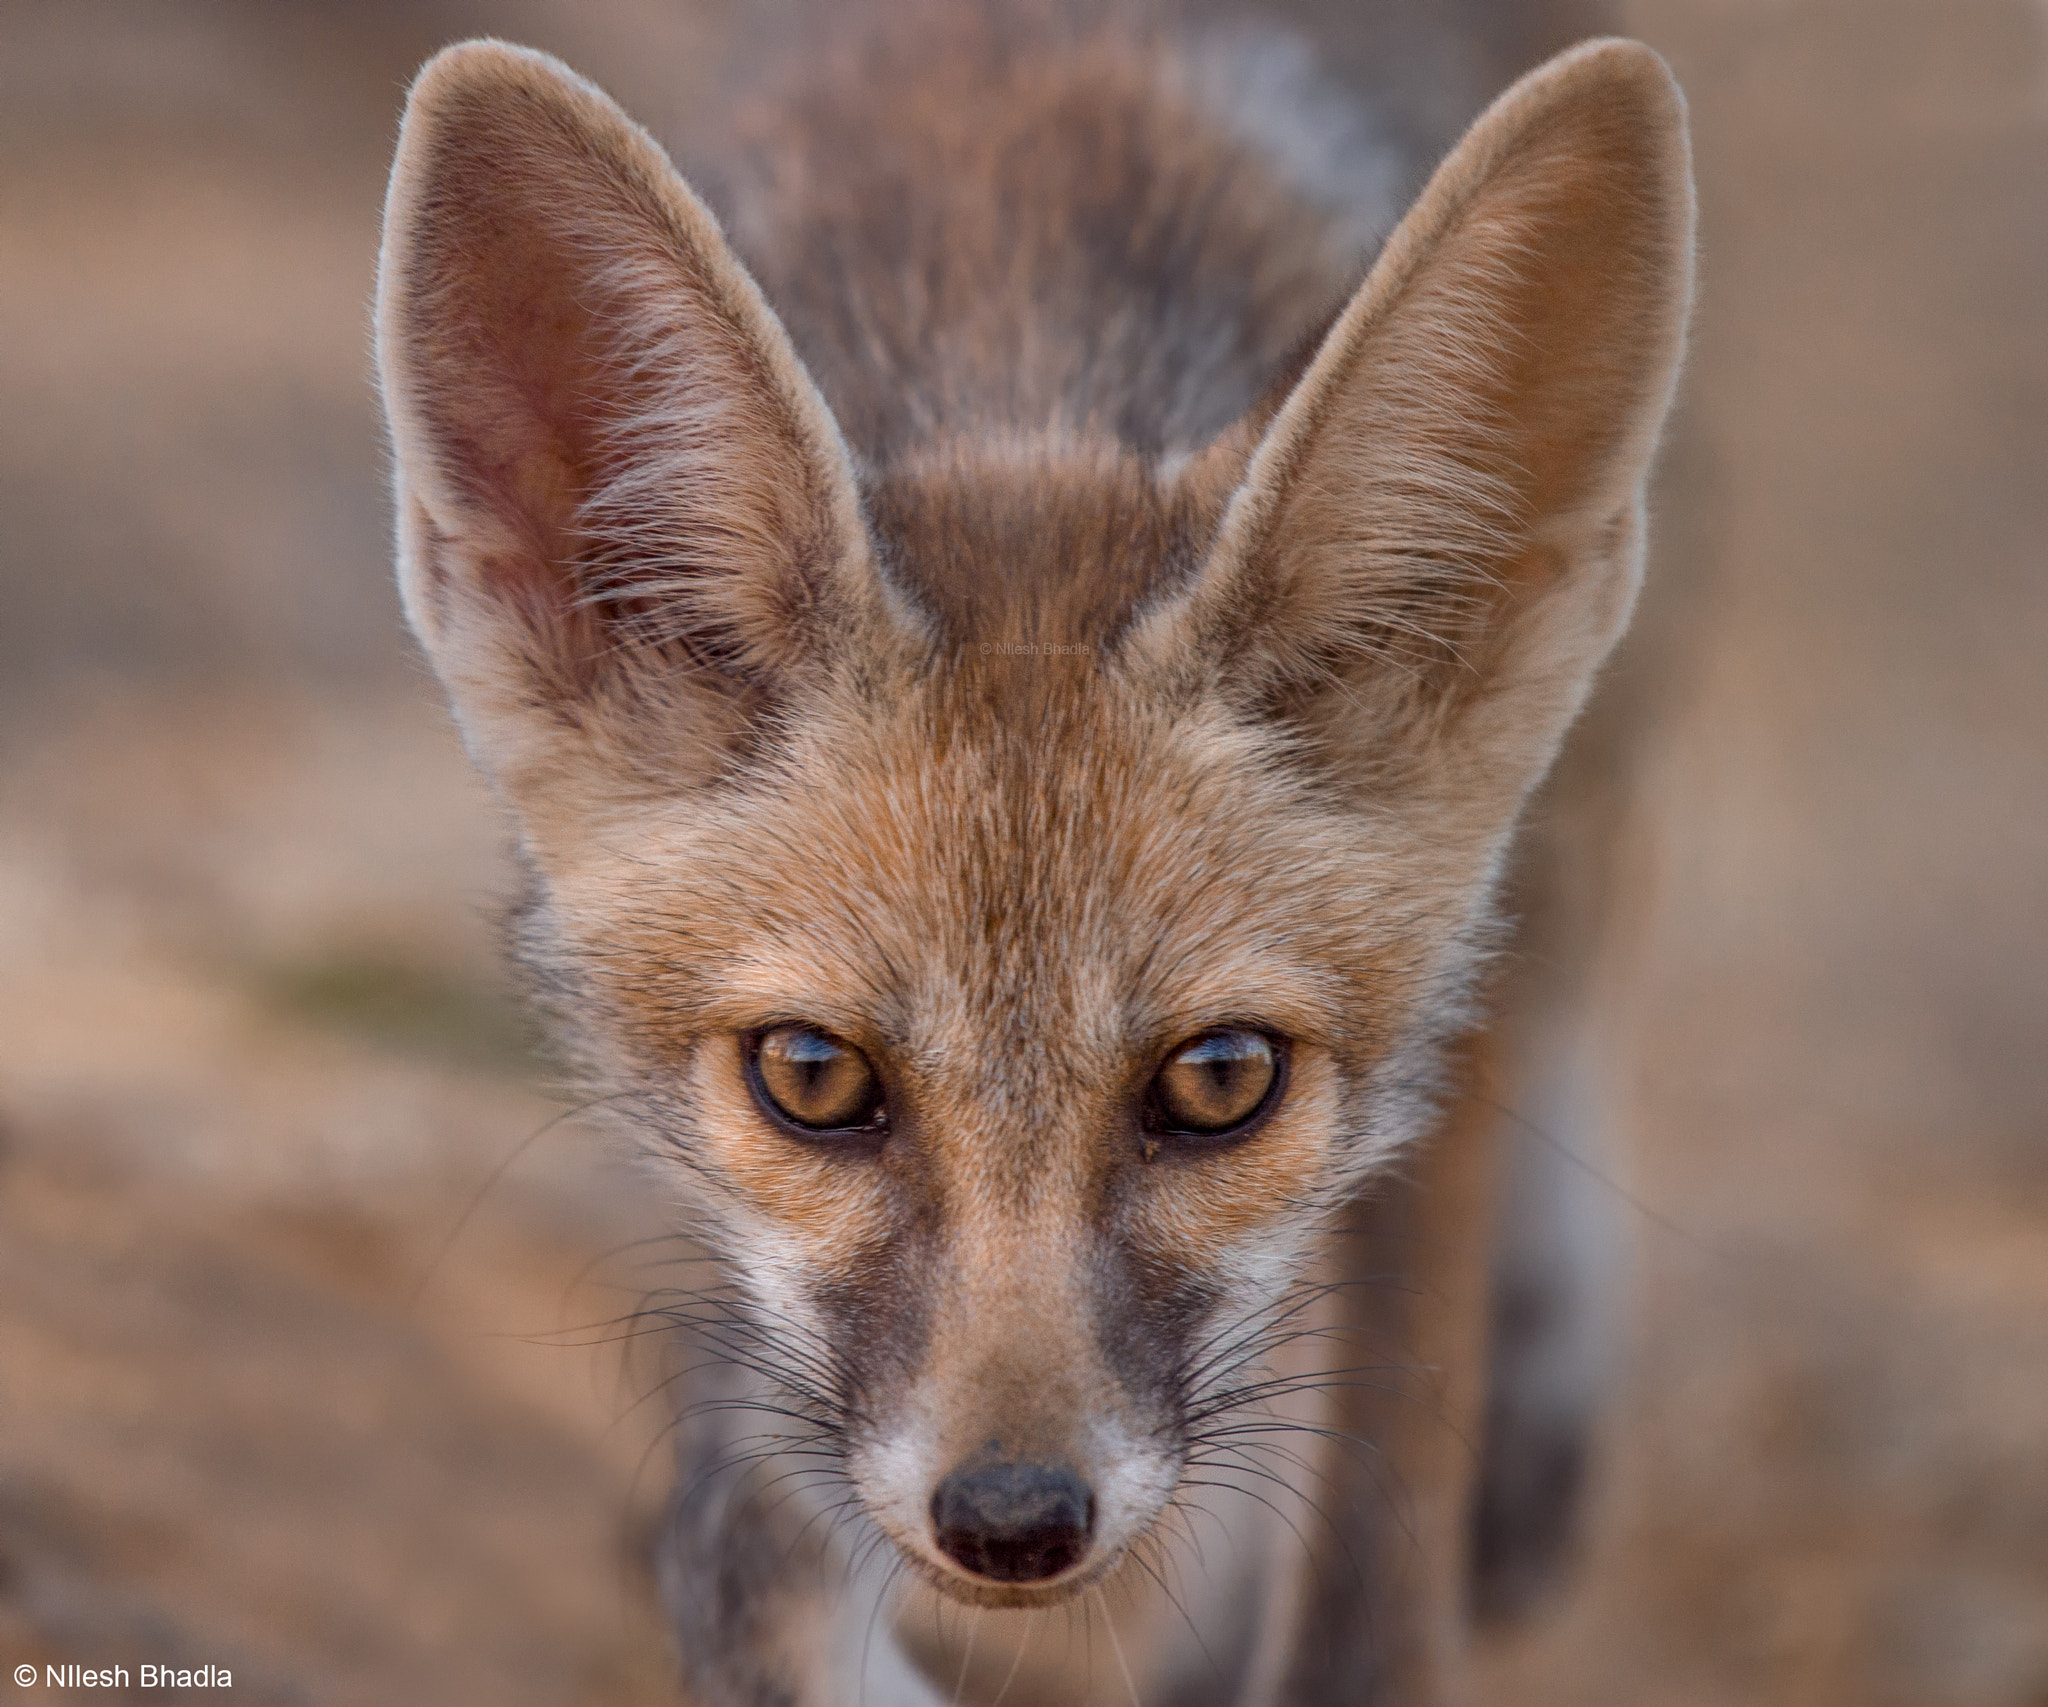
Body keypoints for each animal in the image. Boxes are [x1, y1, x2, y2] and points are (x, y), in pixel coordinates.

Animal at [374, 5, 1693, 1702]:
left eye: (1220, 1077)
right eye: (812, 1076)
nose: (1012, 1519)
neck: (1023, 332)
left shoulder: (1426, 1105)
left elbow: (1369, 1568)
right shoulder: (781, 1339)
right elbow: (746, 1576)